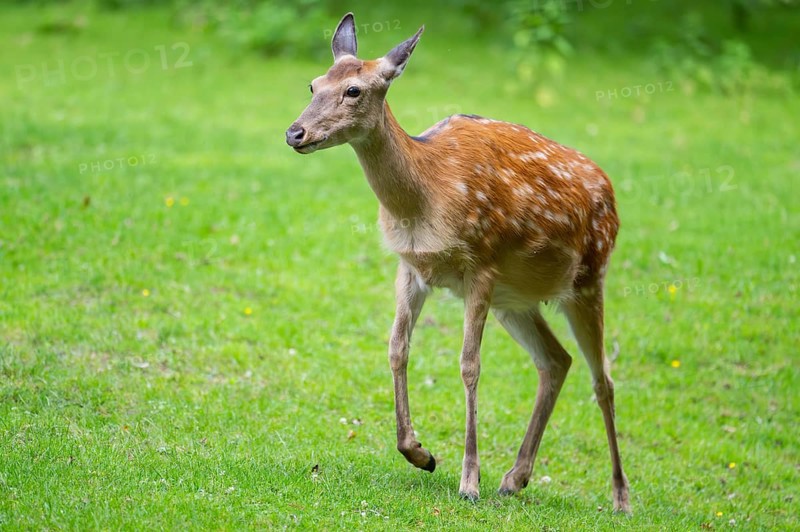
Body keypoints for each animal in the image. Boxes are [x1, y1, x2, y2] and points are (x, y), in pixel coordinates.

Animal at [285, 13, 630, 512]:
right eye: (312, 84)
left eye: (354, 90)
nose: (295, 133)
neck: (426, 195)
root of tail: (613, 195)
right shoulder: (410, 267)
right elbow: (397, 348)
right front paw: (420, 453)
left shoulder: (481, 265)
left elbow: (470, 365)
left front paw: (469, 482)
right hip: (517, 300)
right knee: (557, 360)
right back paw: (514, 478)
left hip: (588, 277)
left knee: (603, 379)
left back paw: (620, 496)